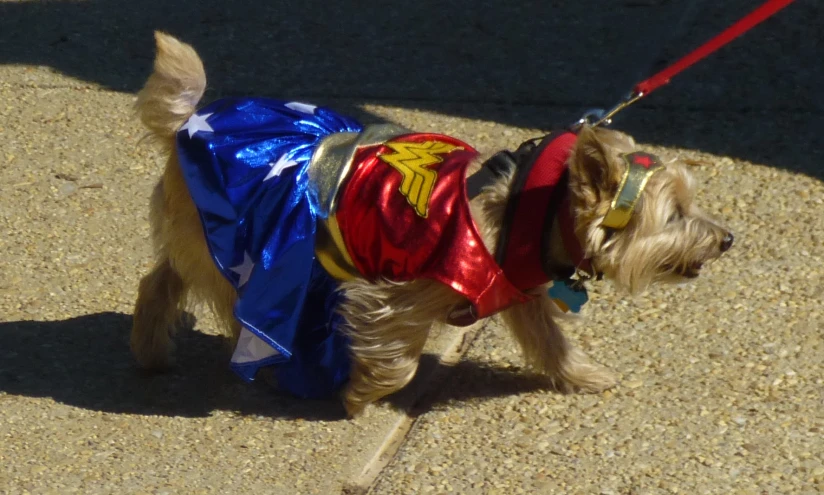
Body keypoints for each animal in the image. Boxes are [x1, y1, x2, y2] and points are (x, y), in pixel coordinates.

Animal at [130, 33, 732, 416]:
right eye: (676, 215)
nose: (727, 239)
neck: (529, 214)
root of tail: (189, 121)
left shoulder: (519, 296)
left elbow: (551, 342)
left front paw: (581, 376)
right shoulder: (393, 295)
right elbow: (396, 363)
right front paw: (360, 396)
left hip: (201, 238)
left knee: (162, 279)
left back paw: (152, 353)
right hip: (236, 242)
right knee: (222, 298)